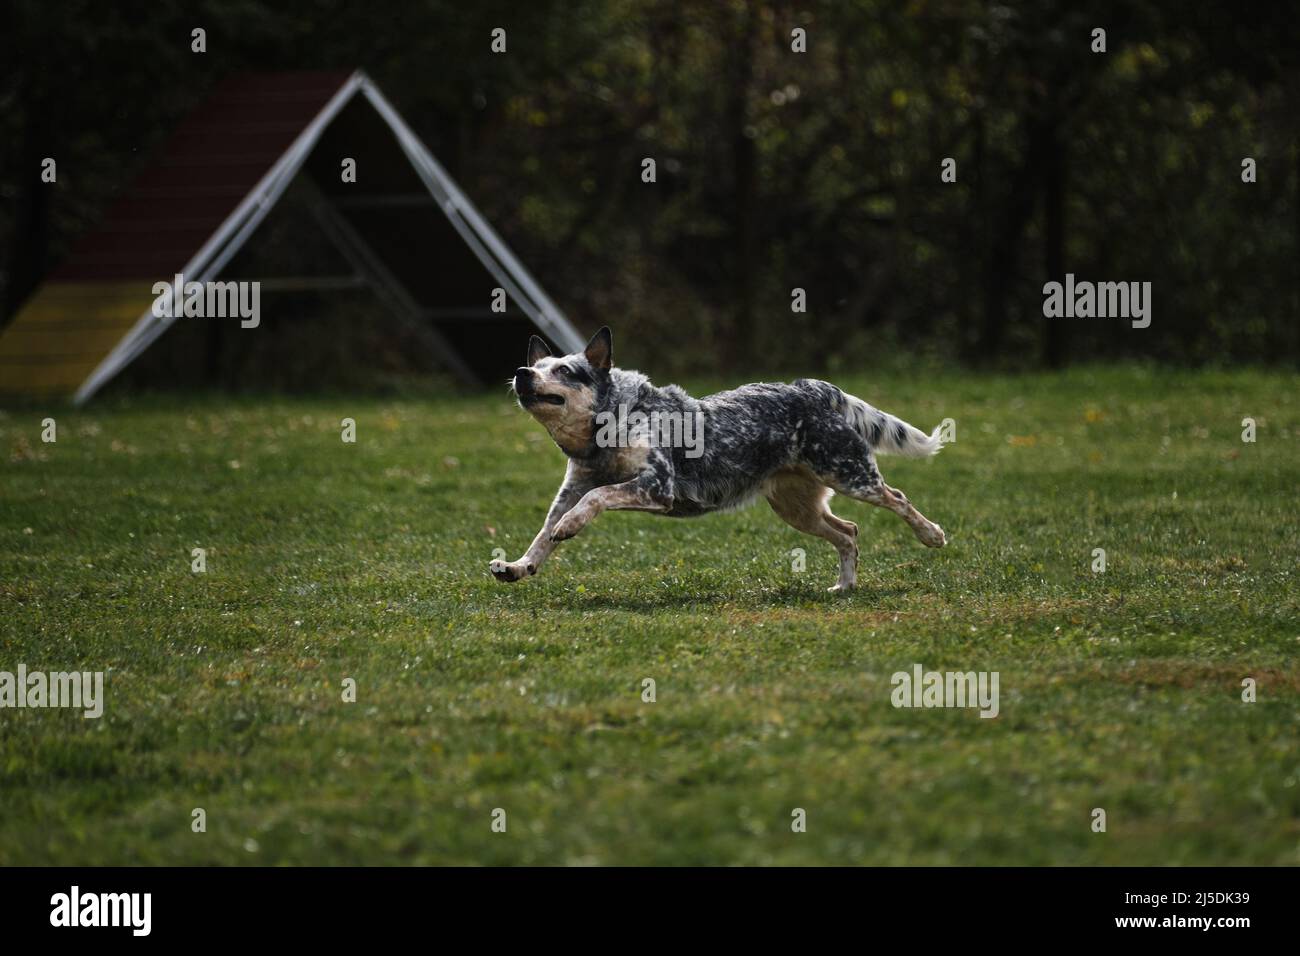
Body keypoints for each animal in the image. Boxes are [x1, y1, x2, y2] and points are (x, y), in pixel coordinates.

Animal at [488, 329, 946, 590]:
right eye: (538, 365)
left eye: (565, 370)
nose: (522, 373)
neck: (608, 429)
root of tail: (811, 388)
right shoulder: (569, 490)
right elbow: (543, 535)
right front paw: (519, 565)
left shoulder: (656, 487)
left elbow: (594, 499)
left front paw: (572, 526)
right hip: (796, 507)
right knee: (849, 531)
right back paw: (845, 587)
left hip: (850, 474)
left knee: (898, 498)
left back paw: (931, 535)